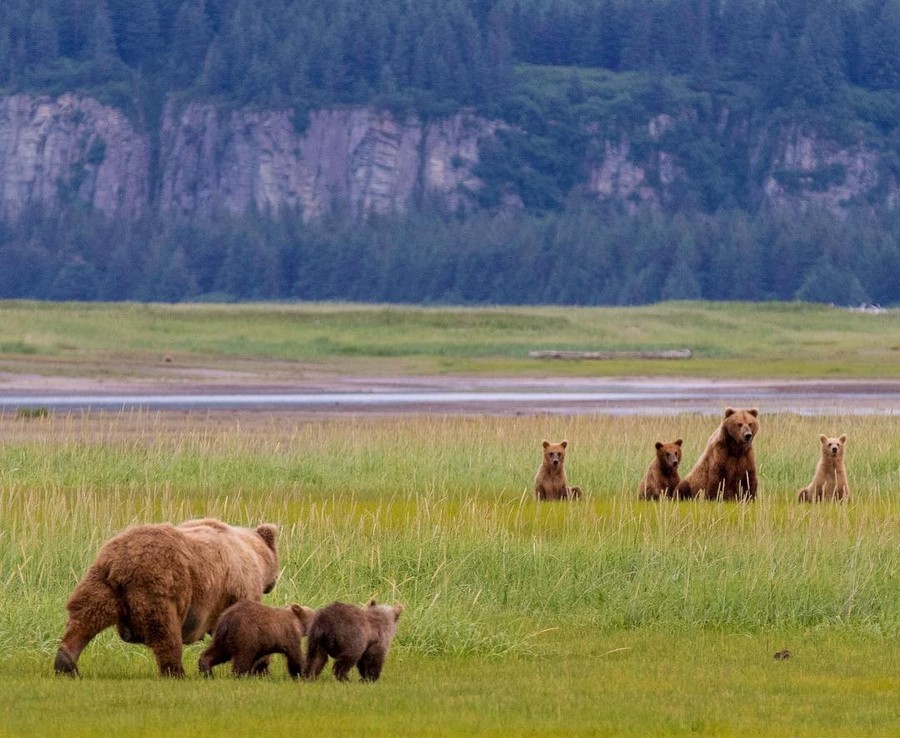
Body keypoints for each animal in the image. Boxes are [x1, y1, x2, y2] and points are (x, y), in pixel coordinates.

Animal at [54, 516, 278, 676]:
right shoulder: (238, 587)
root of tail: (120, 561)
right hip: (158, 585)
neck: (255, 554)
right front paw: (260, 668)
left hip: (101, 582)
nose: (273, 582)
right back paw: (176, 672)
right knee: (165, 631)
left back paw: (65, 661)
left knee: (87, 615)